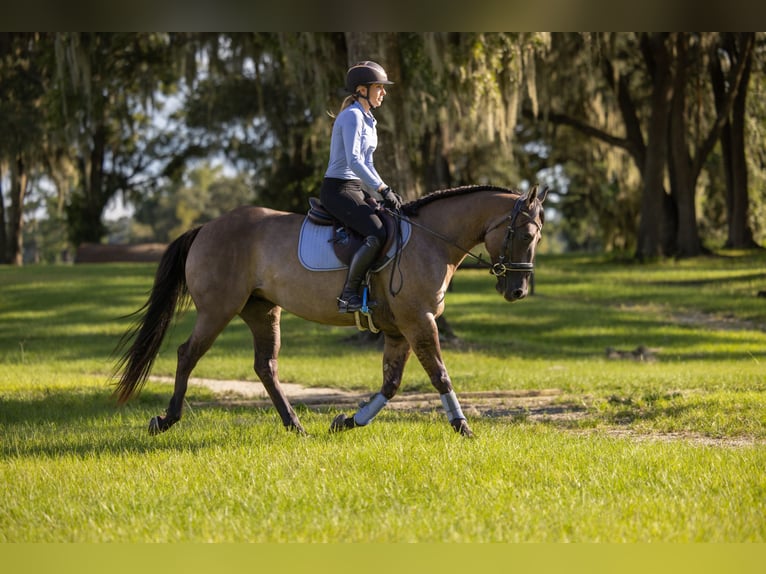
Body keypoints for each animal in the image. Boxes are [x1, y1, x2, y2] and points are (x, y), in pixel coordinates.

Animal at [113, 184, 546, 437]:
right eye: (525, 234)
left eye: (538, 237)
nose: (518, 291)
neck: (431, 240)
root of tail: (206, 226)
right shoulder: (418, 321)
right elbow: (439, 375)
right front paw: (463, 427)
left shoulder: (398, 329)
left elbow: (391, 383)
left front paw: (347, 421)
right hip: (217, 309)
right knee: (187, 354)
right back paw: (165, 420)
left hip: (262, 310)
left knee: (265, 366)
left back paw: (295, 426)